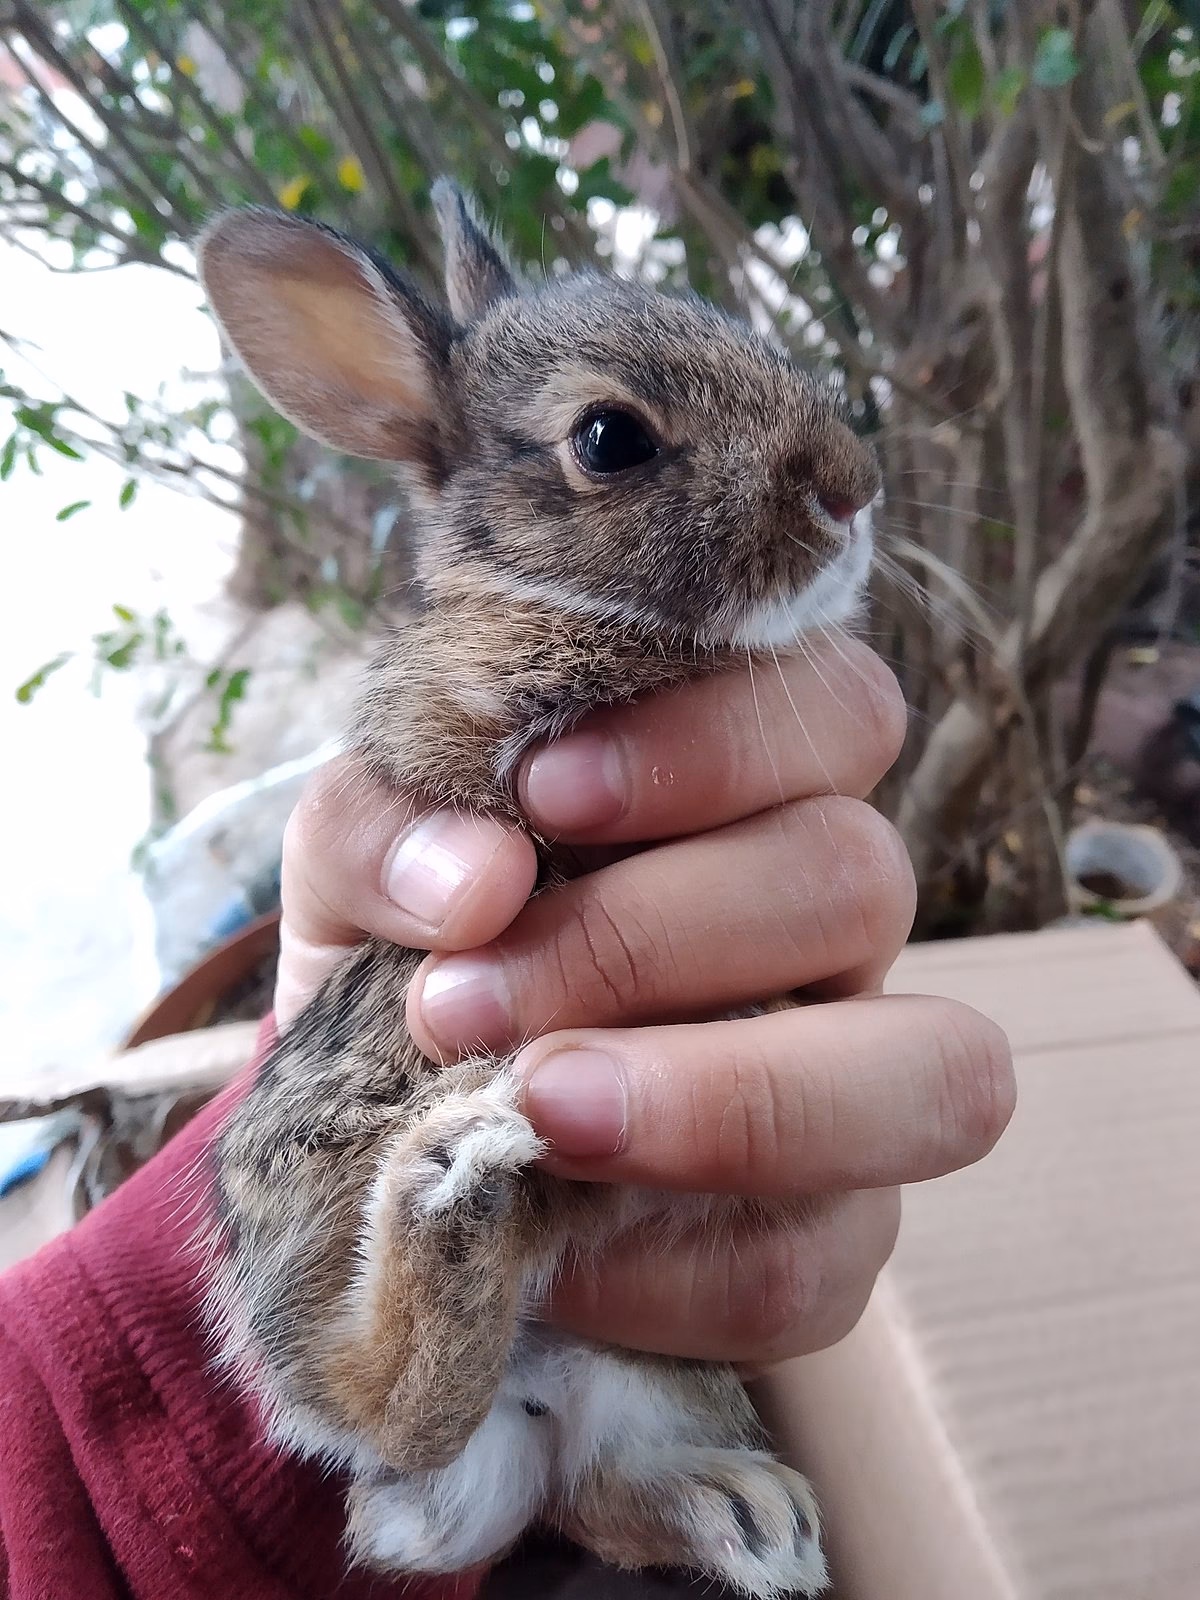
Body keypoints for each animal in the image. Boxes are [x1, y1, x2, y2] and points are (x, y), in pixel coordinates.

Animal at [196, 179, 881, 1599]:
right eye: (609, 438)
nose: (854, 491)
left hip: (641, 1385)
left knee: (589, 1488)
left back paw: (756, 1516)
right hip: (306, 1202)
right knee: (376, 1403)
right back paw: (458, 1182)